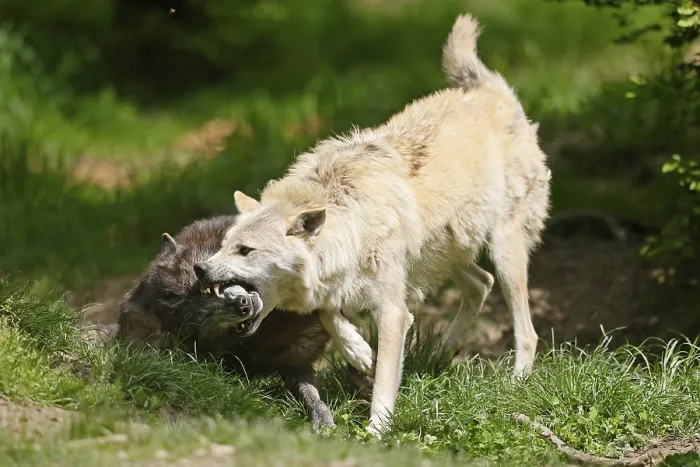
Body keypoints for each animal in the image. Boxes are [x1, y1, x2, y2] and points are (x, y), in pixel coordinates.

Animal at [117, 215, 359, 429]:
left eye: (206, 288)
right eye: (202, 318)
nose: (242, 305)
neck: (267, 330)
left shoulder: (296, 356)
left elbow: (311, 393)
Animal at [194, 13, 551, 434]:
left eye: (245, 250)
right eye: (223, 245)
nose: (200, 269)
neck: (349, 219)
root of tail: (491, 92)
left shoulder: (393, 310)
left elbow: (382, 380)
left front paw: (377, 430)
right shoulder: (345, 287)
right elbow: (329, 316)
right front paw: (360, 353)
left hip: (503, 252)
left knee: (526, 330)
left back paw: (516, 380)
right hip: (442, 256)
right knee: (480, 284)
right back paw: (435, 356)